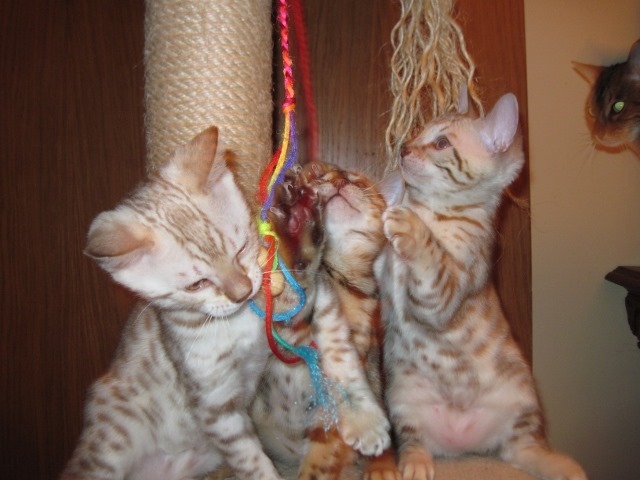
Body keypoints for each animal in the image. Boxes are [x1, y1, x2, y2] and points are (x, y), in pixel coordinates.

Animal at [61, 126, 285, 480]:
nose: (243, 292)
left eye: (241, 248)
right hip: (106, 445)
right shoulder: (215, 405)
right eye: (197, 284)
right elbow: (251, 460)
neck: (234, 326)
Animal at [375, 93, 588, 480]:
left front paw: (410, 225)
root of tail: (464, 445)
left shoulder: (443, 294)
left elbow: (430, 255)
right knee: (415, 441)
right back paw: (414, 464)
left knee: (524, 449)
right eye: (418, 131)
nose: (403, 149)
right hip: (402, 399)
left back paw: (564, 467)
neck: (433, 210)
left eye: (441, 143)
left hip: (523, 398)